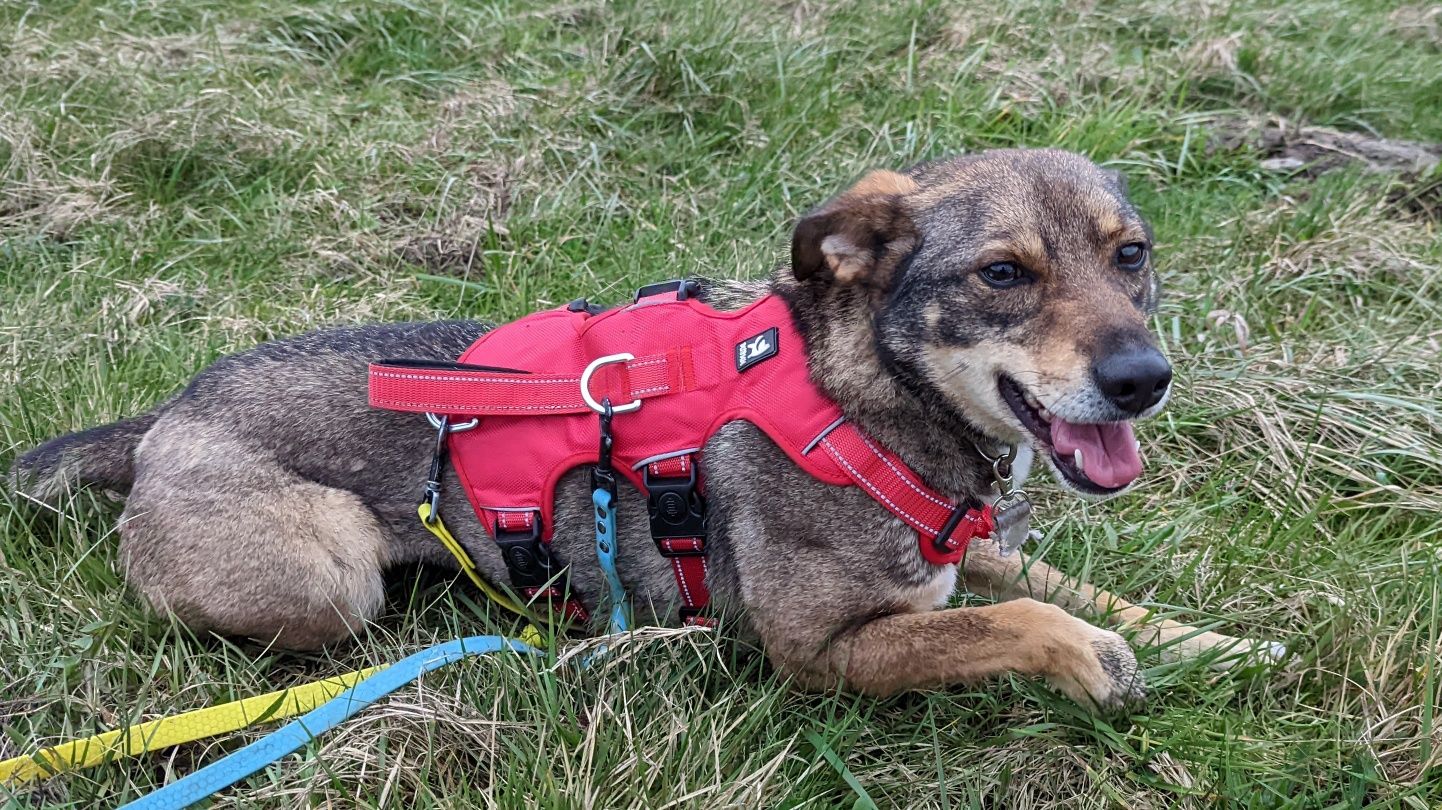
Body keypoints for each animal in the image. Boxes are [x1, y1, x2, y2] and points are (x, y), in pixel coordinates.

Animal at [8, 148, 1274, 709]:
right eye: (1002, 274)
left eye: (1129, 256)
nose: (1142, 379)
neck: (860, 401)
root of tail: (166, 416)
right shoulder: (825, 650)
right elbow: (1022, 620)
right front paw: (1096, 661)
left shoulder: (968, 550)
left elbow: (1077, 588)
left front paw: (1221, 646)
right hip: (327, 580)